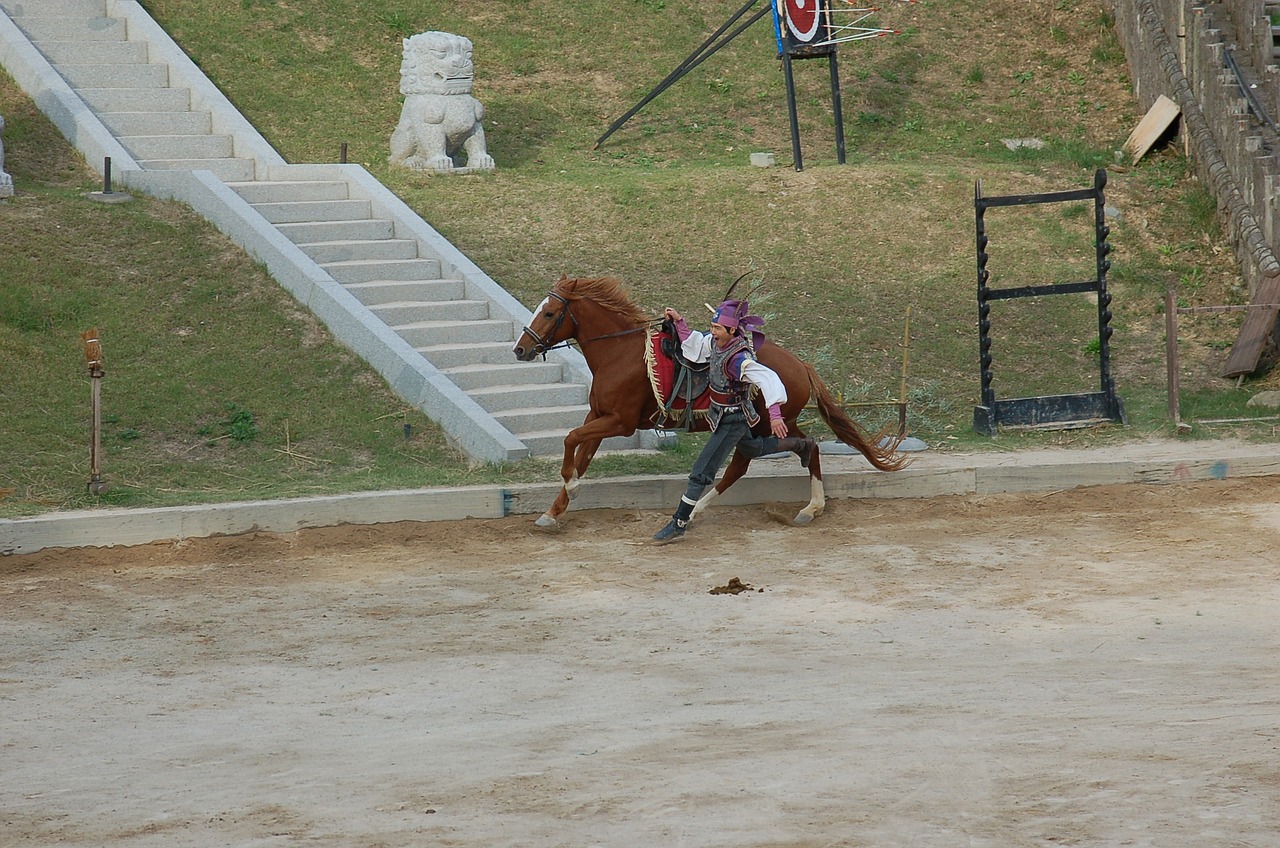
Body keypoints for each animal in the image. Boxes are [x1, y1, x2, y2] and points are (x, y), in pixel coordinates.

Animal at [504, 277, 906, 532]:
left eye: (550, 313)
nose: (520, 349)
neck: (618, 353)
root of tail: (800, 365)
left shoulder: (620, 421)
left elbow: (571, 439)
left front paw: (568, 484)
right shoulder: (599, 415)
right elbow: (582, 453)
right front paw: (554, 511)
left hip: (765, 424)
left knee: (766, 458)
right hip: (769, 425)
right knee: (780, 454)